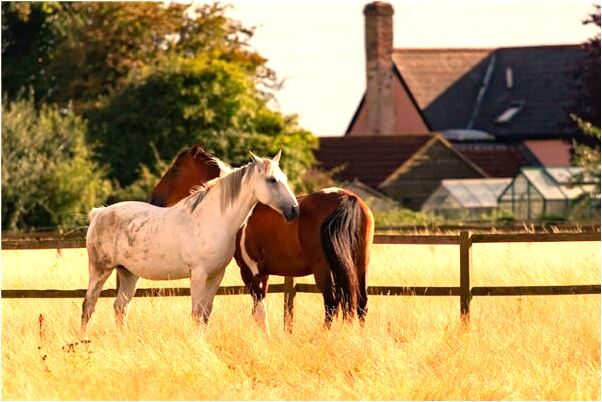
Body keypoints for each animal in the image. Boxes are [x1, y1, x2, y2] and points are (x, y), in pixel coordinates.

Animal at [79, 151, 296, 336]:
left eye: (284, 178)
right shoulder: (198, 275)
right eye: (272, 180)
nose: (294, 210)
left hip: (128, 274)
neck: (214, 219)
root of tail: (99, 213)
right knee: (88, 305)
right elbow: (196, 314)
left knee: (120, 307)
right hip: (100, 270)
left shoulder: (216, 276)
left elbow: (206, 314)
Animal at [150, 146, 372, 328]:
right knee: (360, 303)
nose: (155, 199)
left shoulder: (250, 272)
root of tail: (346, 197)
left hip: (324, 269)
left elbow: (259, 313)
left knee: (332, 304)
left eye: (175, 170)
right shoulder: (263, 273)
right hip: (359, 265)